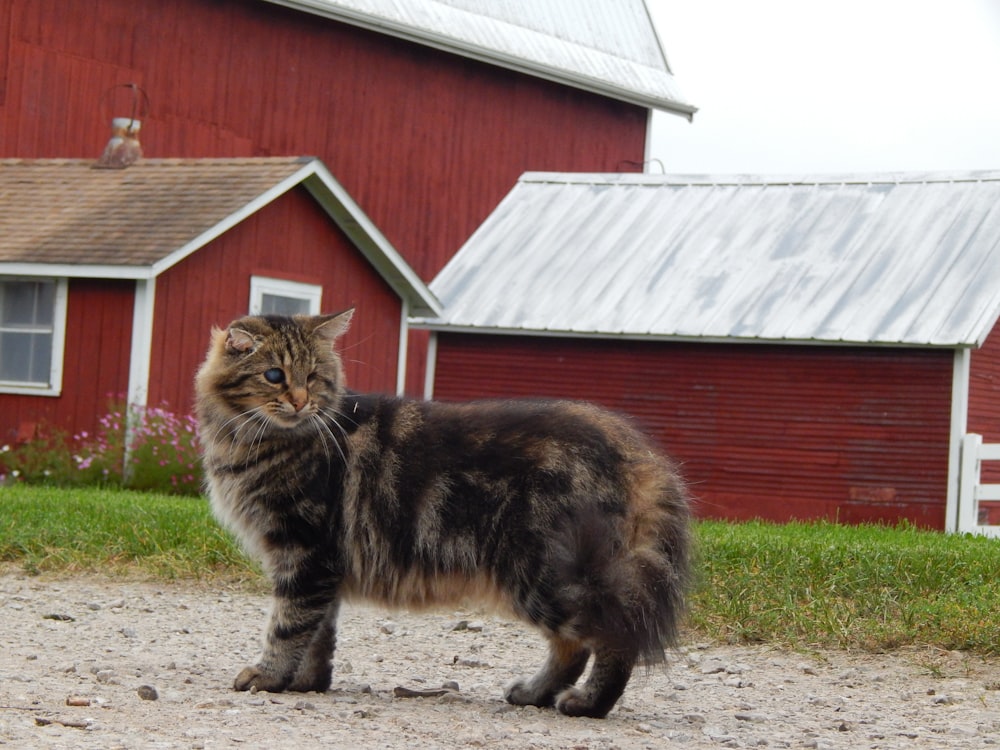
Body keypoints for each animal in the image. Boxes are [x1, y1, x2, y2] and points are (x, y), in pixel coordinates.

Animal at [197, 308, 696, 720]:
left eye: (314, 376)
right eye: (274, 375)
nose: (302, 401)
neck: (250, 443)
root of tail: (635, 451)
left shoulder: (304, 551)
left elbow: (288, 626)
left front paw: (269, 677)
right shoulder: (324, 564)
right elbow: (319, 635)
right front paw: (306, 684)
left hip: (544, 572)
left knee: (615, 635)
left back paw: (588, 704)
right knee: (571, 647)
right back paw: (534, 693)